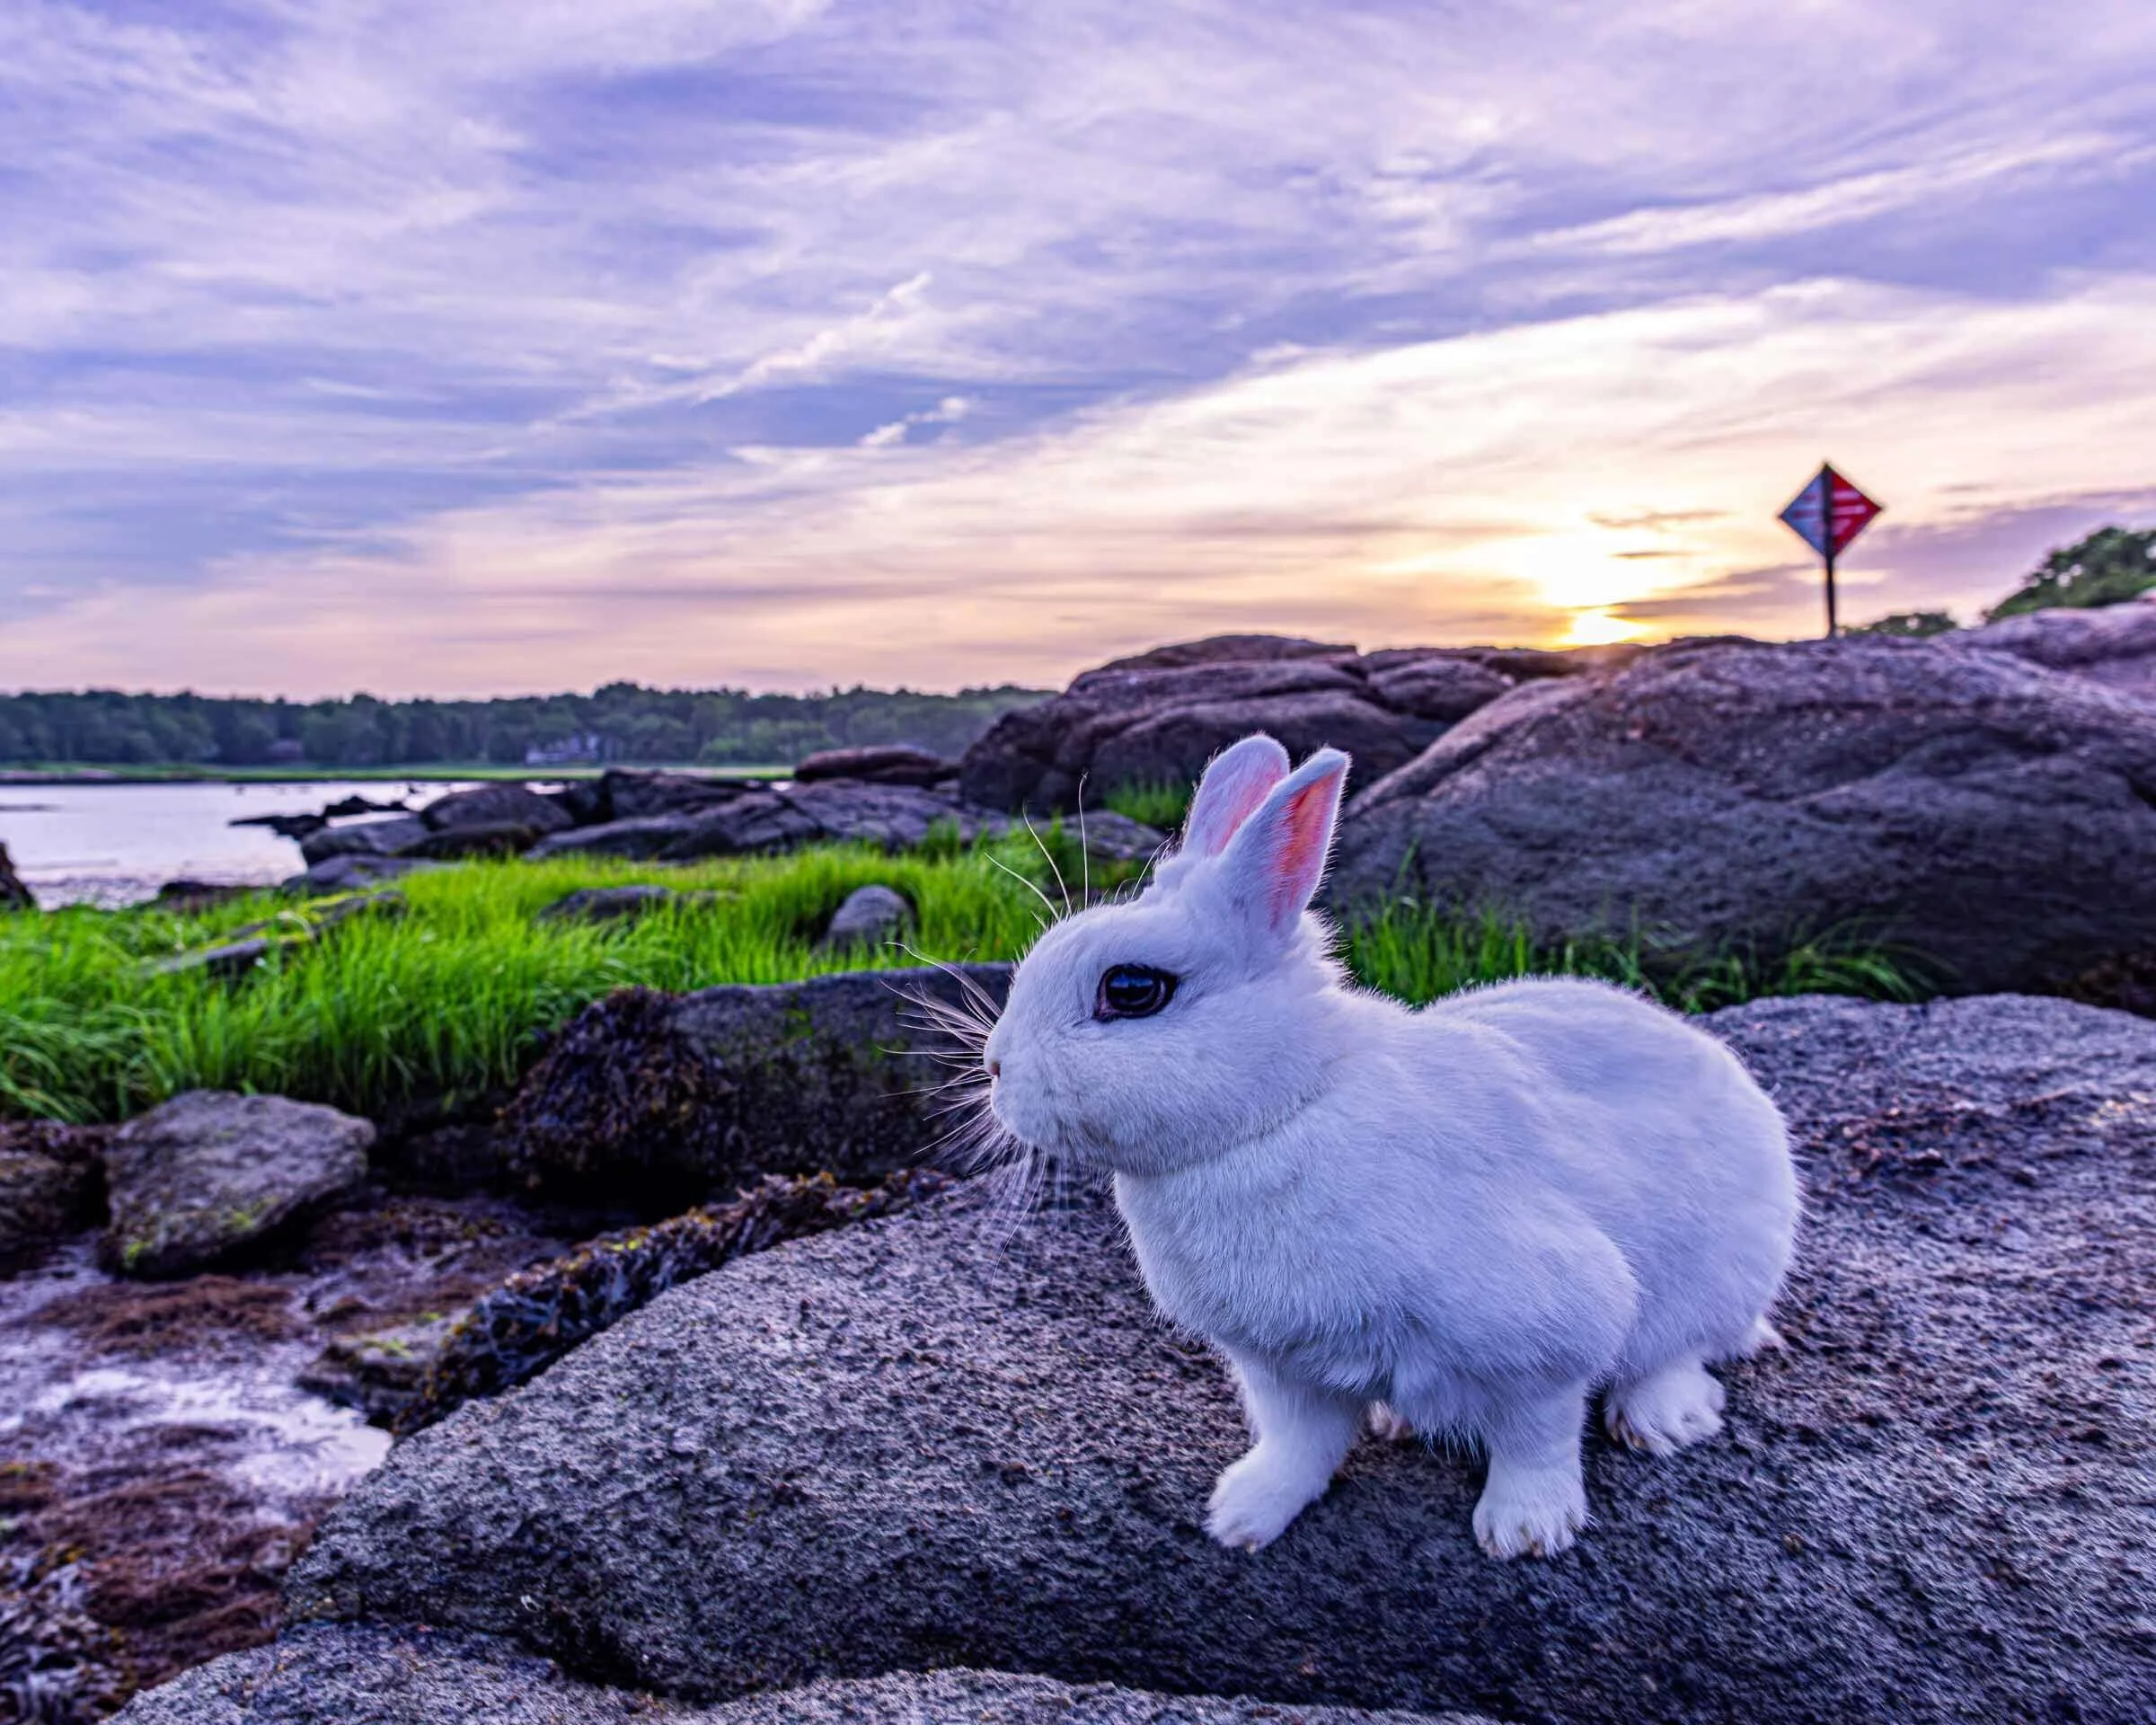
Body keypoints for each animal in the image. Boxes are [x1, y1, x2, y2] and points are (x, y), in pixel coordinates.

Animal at [981, 733, 1797, 1560]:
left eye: (1132, 990)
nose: (994, 1067)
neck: (1285, 1106)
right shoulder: (1282, 1368)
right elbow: (1297, 1446)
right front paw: (1241, 1519)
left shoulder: (1547, 1340)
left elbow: (1537, 1435)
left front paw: (1526, 1529)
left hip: (1714, 1279)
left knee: (1681, 1351)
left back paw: (1663, 1418)